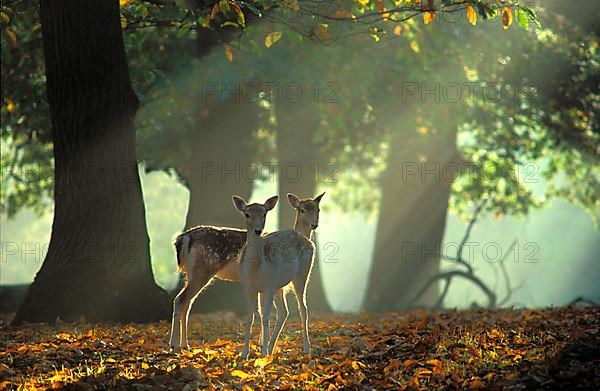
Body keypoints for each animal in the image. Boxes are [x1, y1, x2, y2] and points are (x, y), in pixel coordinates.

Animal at [169, 193, 324, 356]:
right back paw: (174, 345)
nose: (314, 225)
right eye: (302, 210)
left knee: (187, 303)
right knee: (181, 300)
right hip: (202, 271)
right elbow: (268, 313)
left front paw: (262, 345)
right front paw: (261, 346)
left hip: (191, 273)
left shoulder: (271, 286)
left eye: (318, 209)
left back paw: (185, 345)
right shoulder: (272, 286)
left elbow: (267, 312)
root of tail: (183, 239)